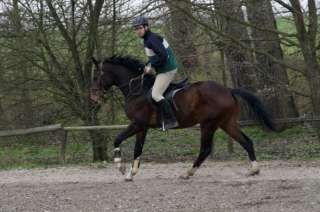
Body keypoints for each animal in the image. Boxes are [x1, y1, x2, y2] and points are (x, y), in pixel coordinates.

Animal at [89, 55, 276, 181]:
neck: (137, 89)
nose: (93, 98)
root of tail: (228, 90)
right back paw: (254, 170)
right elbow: (137, 150)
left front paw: (120, 167)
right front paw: (131, 173)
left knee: (205, 149)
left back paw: (187, 173)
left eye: (96, 76)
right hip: (226, 123)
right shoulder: (142, 127)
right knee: (246, 141)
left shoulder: (137, 124)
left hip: (208, 124)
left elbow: (117, 139)